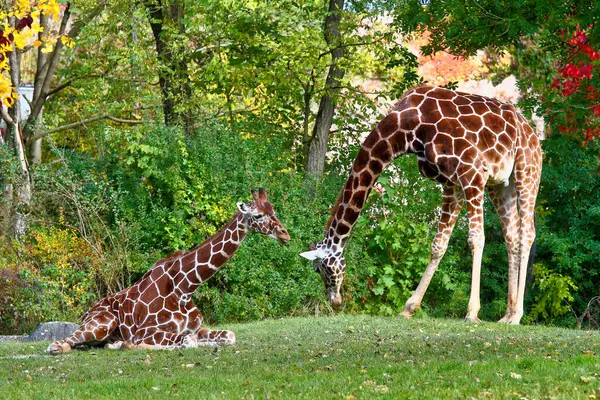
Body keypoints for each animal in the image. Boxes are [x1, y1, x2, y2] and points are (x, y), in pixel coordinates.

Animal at [49, 188, 288, 354]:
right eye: (257, 216)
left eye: (273, 211)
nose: (285, 235)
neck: (185, 287)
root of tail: (86, 314)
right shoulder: (146, 331)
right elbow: (186, 342)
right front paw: (131, 345)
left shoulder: (196, 329)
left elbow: (228, 335)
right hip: (104, 322)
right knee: (57, 345)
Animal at [302, 85, 540, 324]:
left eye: (318, 269)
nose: (335, 301)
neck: (405, 127)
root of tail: (531, 131)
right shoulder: (452, 181)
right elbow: (438, 245)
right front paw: (409, 307)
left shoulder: (471, 171)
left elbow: (476, 239)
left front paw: (472, 312)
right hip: (501, 185)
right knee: (512, 235)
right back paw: (507, 314)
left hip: (527, 172)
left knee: (527, 234)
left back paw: (516, 315)